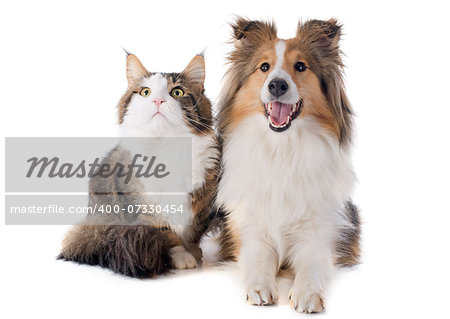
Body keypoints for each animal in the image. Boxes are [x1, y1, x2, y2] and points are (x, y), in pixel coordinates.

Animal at [58, 52, 220, 278]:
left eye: (177, 92)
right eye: (145, 92)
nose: (158, 100)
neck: (166, 145)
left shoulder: (203, 200)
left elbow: (194, 232)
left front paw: (194, 252)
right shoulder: (143, 206)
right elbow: (167, 235)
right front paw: (182, 256)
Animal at [216, 18, 360, 316]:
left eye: (301, 66)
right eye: (264, 67)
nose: (277, 85)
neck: (282, 148)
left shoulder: (321, 231)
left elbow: (312, 261)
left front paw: (307, 292)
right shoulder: (248, 229)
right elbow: (258, 257)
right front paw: (260, 287)